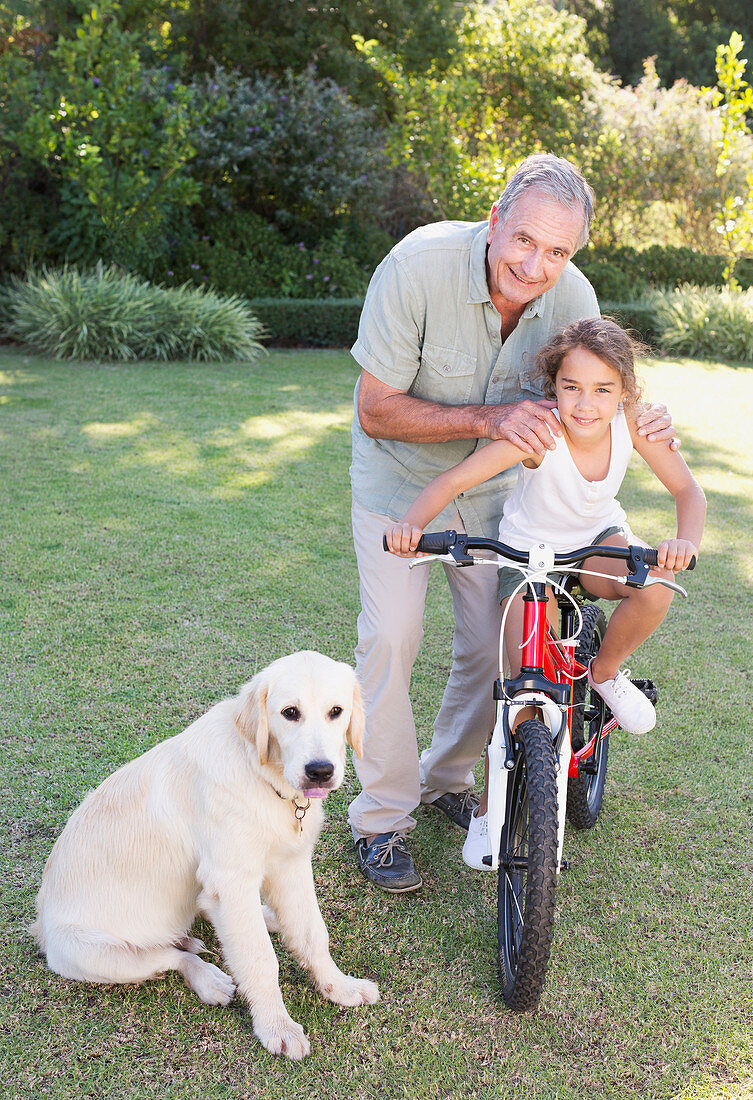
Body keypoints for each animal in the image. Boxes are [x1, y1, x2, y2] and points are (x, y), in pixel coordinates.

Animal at [32, 651, 378, 1056]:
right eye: (290, 713)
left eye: (336, 711)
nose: (320, 771)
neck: (261, 774)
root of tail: (40, 927)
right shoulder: (231, 881)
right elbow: (260, 958)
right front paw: (276, 1025)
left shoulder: (290, 865)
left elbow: (312, 934)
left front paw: (339, 986)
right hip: (96, 955)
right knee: (173, 956)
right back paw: (209, 978)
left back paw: (260, 919)